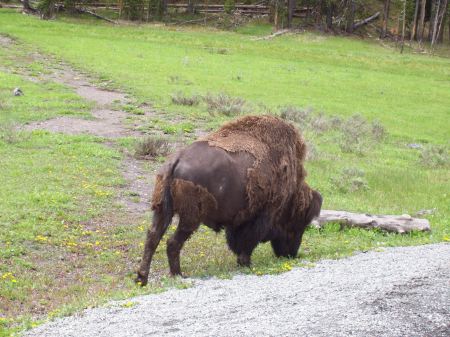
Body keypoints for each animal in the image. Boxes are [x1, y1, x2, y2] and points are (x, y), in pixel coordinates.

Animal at [135, 115, 322, 284]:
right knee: (172, 242)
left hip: (162, 210)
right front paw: (246, 263)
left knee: (152, 238)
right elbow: (249, 241)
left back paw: (142, 278)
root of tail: (177, 159)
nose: (291, 254)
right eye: (298, 223)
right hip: (190, 218)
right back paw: (178, 275)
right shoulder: (262, 216)